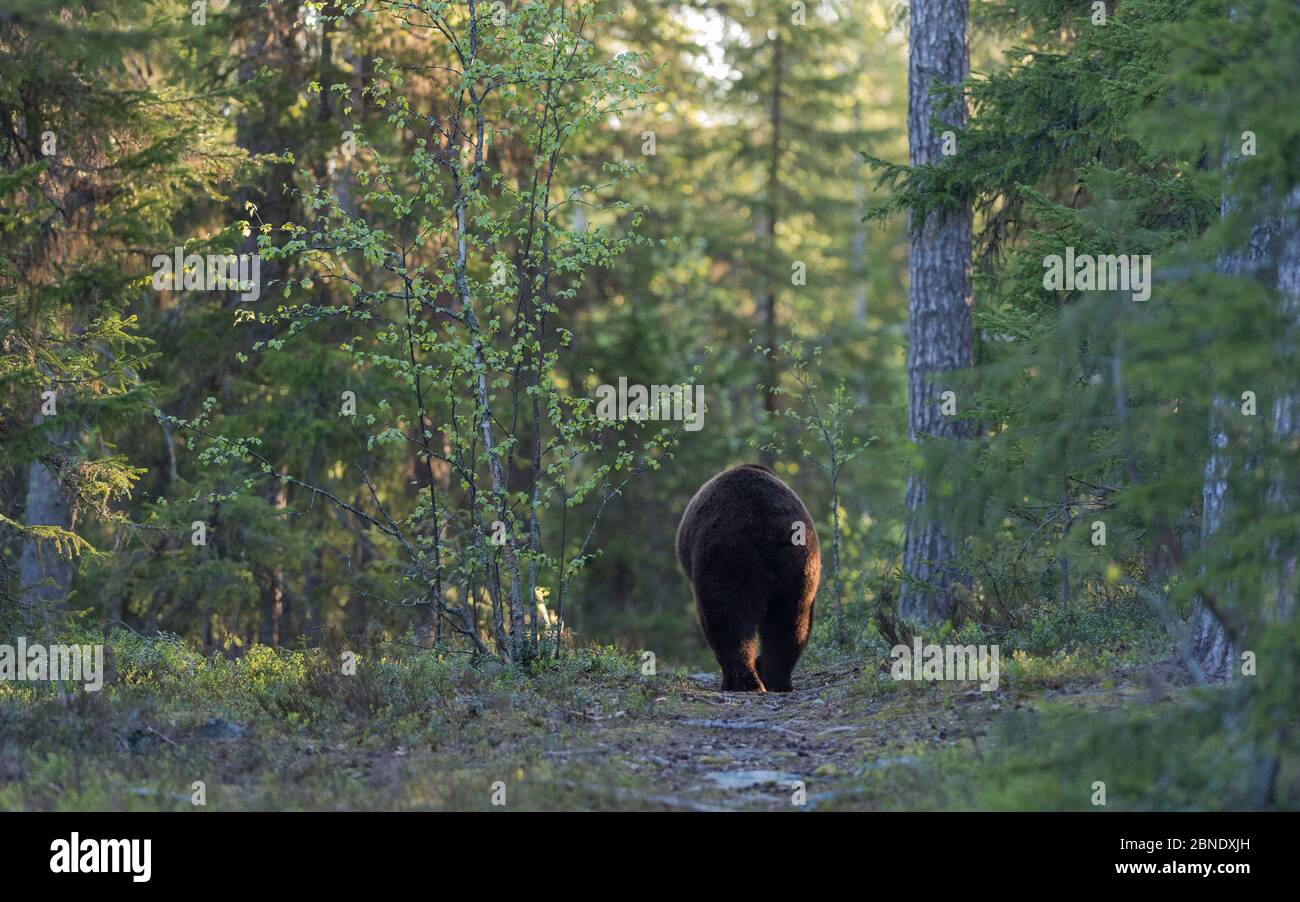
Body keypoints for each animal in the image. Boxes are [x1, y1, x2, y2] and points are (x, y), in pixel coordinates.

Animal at [676, 465, 816, 691]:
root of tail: (766, 528)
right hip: (799, 567)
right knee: (792, 619)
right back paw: (776, 679)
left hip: (727, 558)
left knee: (728, 617)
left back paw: (742, 680)